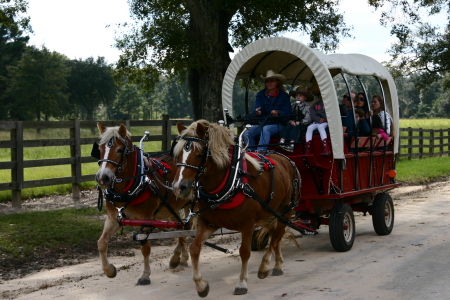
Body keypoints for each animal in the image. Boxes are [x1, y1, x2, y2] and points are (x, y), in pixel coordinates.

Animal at [94, 122, 188, 286]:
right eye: (99, 149)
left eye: (120, 150)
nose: (102, 178)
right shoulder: (114, 218)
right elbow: (102, 243)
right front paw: (109, 270)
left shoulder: (146, 219)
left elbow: (145, 248)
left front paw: (145, 275)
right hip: (171, 209)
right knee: (182, 229)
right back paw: (179, 258)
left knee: (190, 228)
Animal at [173, 120, 302, 298]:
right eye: (178, 155)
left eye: (199, 155)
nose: (179, 187)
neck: (232, 181)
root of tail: (286, 159)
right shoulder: (209, 223)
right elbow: (194, 248)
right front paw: (200, 285)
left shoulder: (247, 225)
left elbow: (244, 252)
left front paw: (242, 283)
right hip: (273, 212)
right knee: (276, 236)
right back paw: (277, 264)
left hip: (286, 210)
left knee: (276, 236)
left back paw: (265, 266)